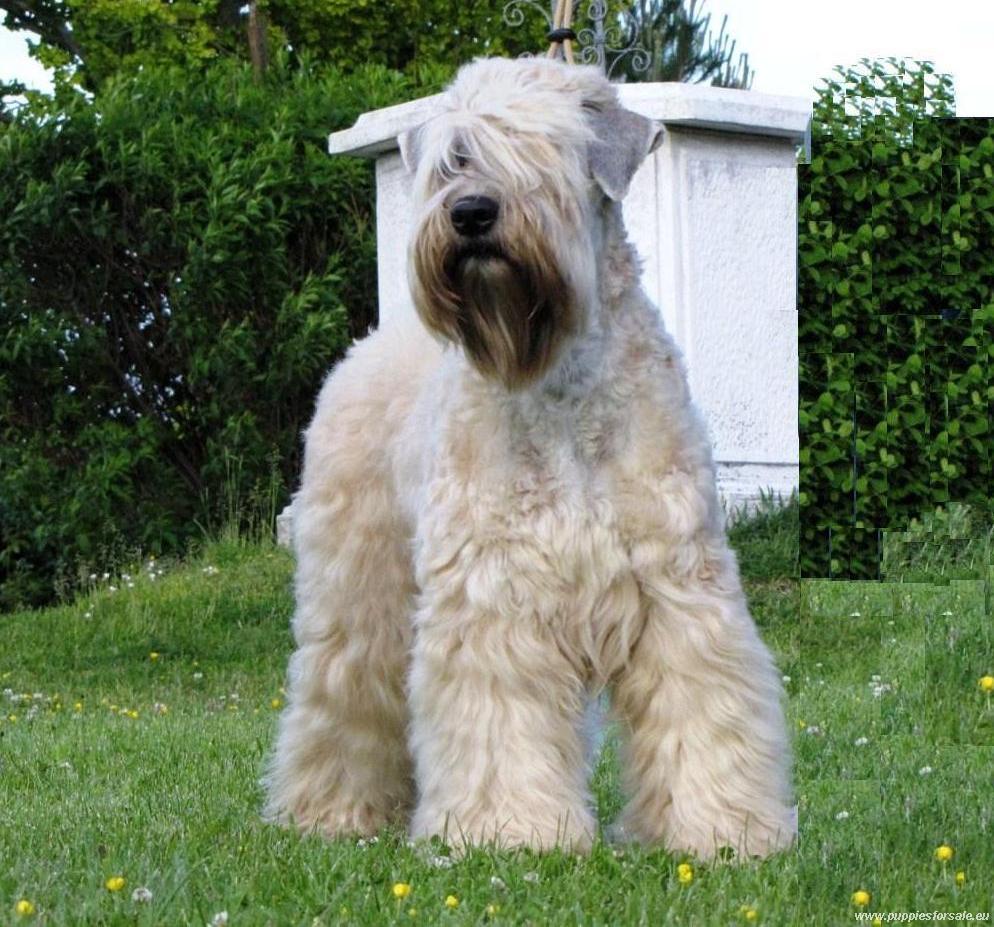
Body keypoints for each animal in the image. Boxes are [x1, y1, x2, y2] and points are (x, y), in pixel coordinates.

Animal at [262, 54, 792, 860]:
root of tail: (371, 344)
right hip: (359, 590)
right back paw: (331, 812)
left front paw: (725, 829)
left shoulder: (677, 584)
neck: (561, 387)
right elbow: (500, 717)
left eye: (545, 151)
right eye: (455, 158)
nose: (472, 213)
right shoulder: (495, 590)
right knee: (341, 697)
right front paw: (508, 832)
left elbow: (703, 705)